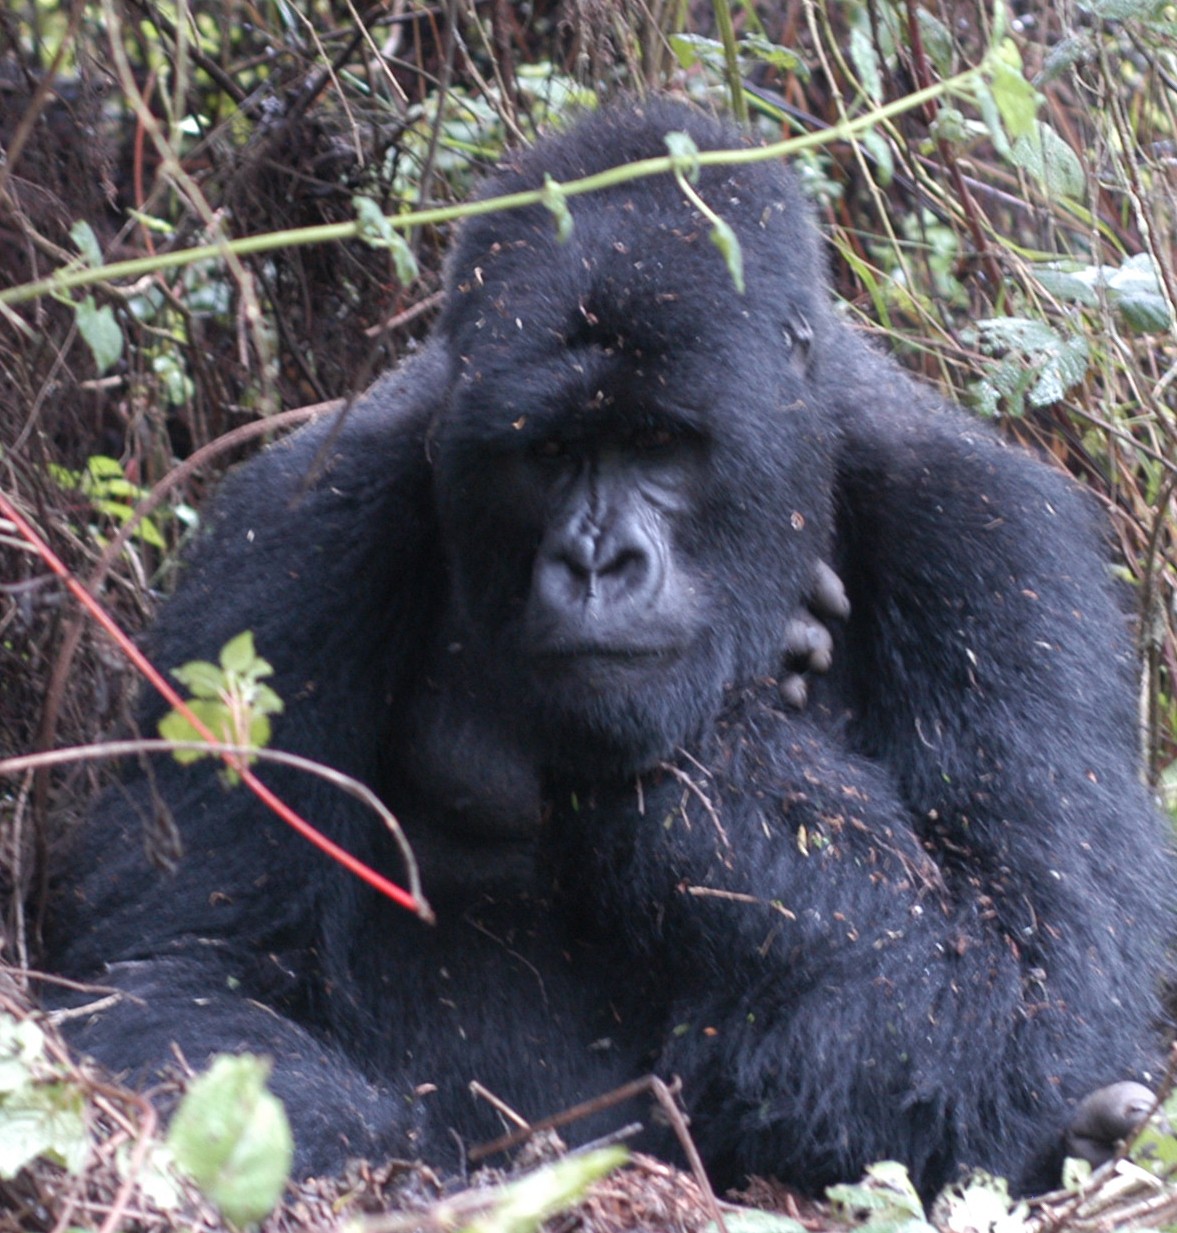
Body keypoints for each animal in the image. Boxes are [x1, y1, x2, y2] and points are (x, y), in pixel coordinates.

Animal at [43, 101, 1168, 1198]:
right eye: (547, 453)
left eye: (662, 443)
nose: (596, 562)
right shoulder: (289, 534)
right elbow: (179, 972)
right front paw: (406, 1165)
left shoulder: (1000, 545)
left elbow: (1036, 978)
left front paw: (718, 761)